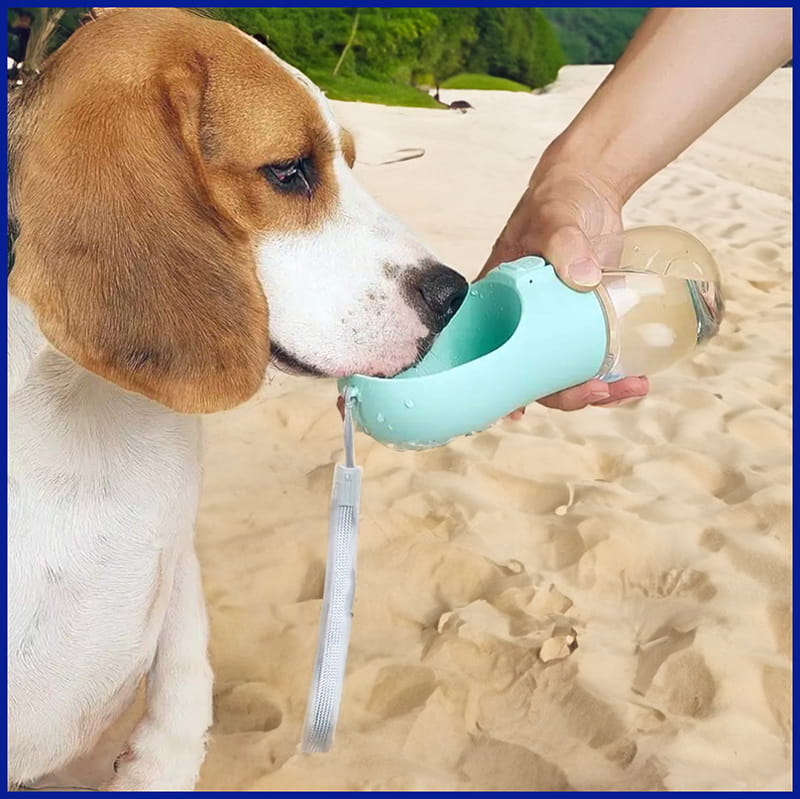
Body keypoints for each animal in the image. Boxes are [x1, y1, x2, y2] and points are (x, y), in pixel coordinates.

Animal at [6, 7, 468, 792]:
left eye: (347, 160)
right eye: (289, 171)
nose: (452, 293)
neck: (84, 396)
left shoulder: (177, 555)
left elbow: (183, 686)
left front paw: (161, 757)